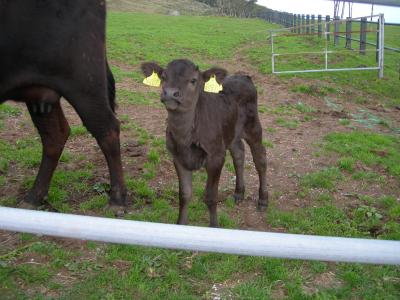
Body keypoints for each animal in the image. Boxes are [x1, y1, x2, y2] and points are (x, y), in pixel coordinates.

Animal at [0, 0, 126, 206]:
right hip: (40, 92)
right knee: (55, 135)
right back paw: (34, 197)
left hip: (84, 81)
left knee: (107, 129)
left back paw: (117, 199)